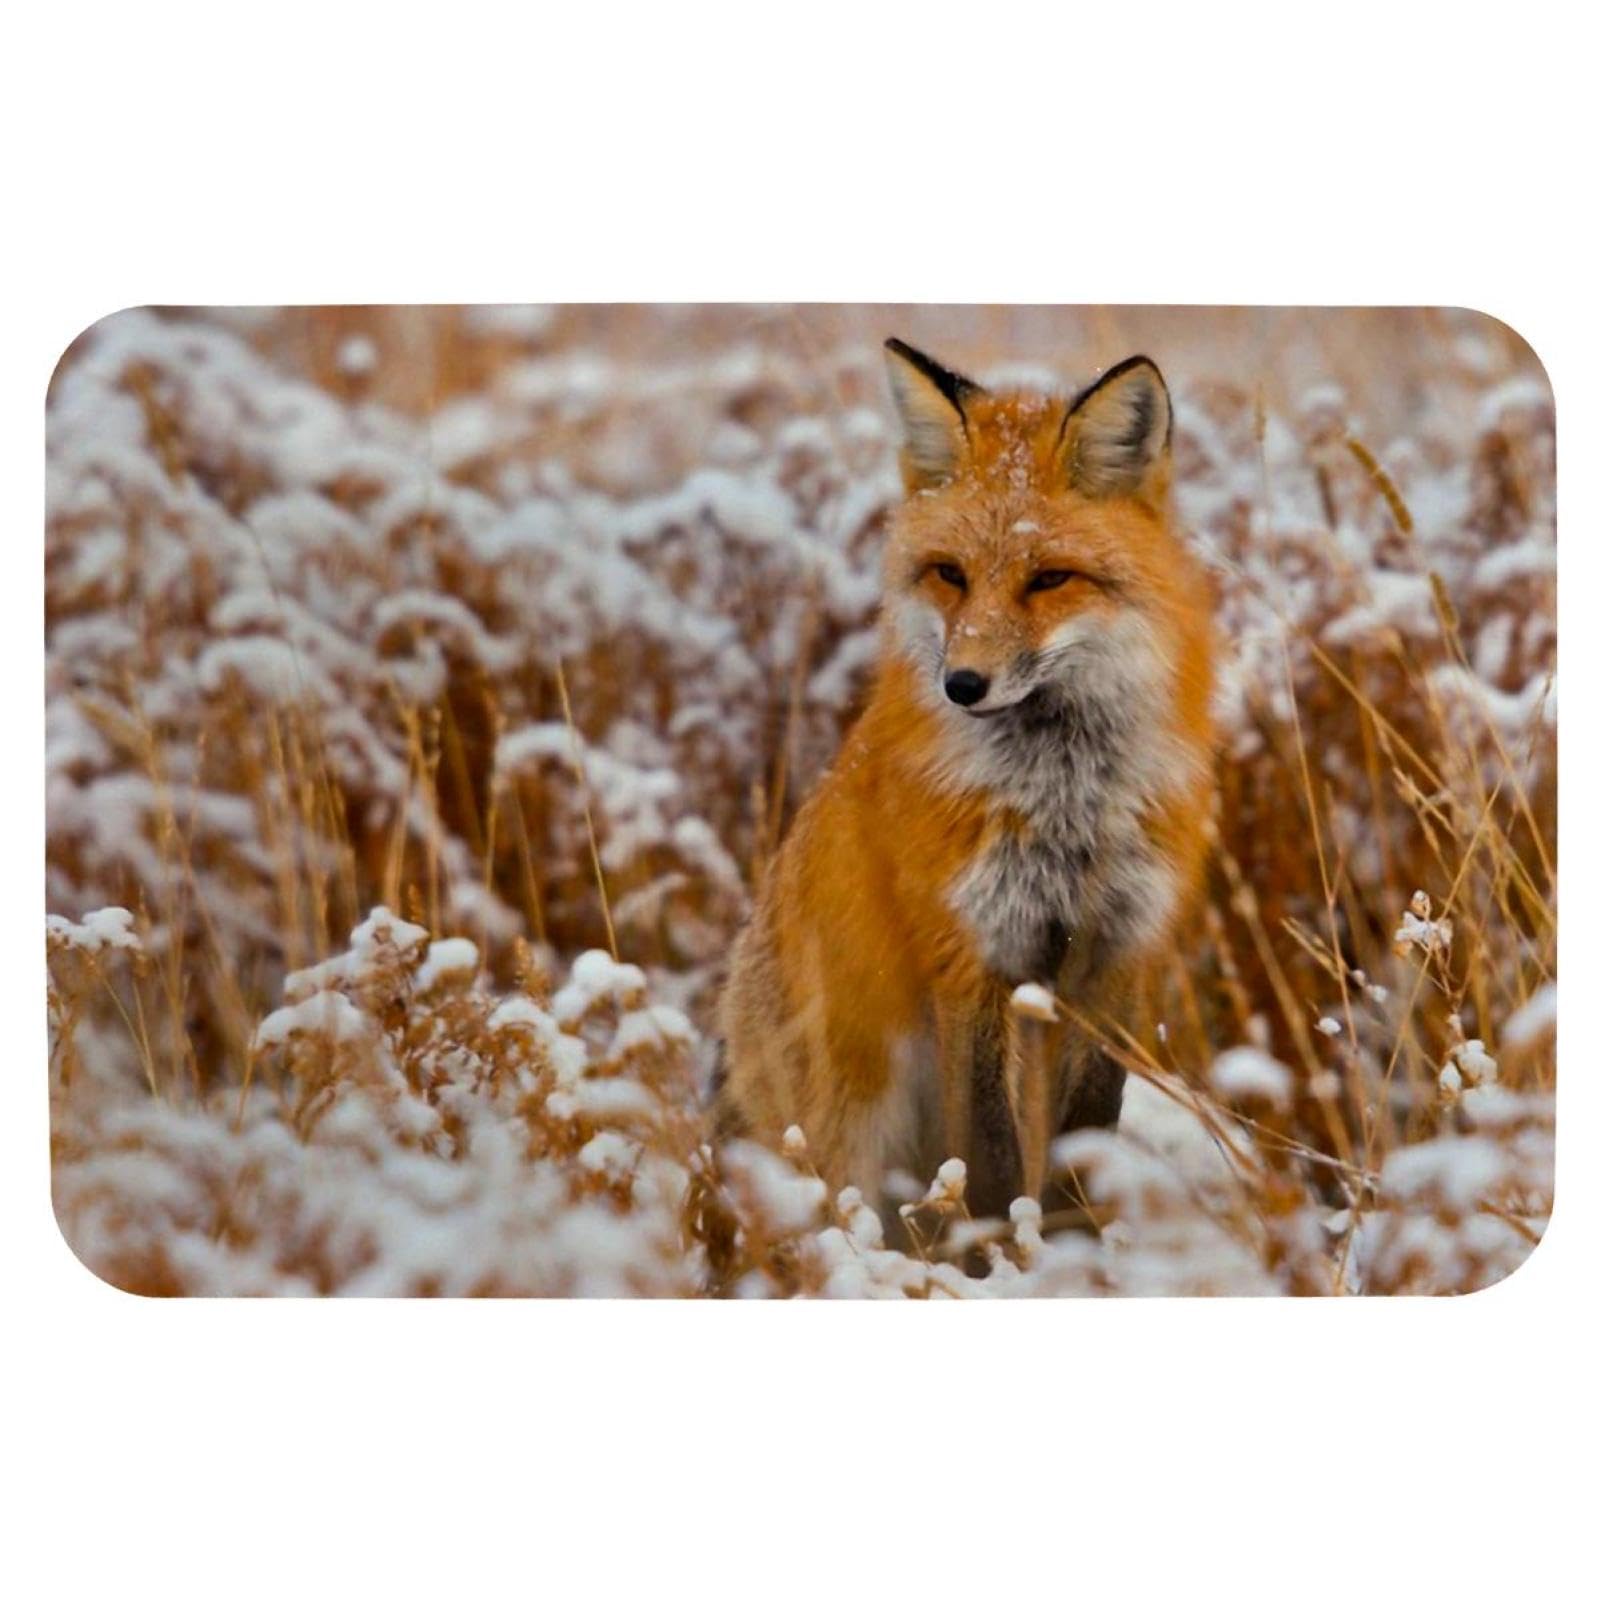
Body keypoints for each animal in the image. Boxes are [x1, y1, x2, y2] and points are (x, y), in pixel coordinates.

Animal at [716, 339, 1215, 1222]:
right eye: (949, 574)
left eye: (1049, 578)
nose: (962, 684)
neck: (1064, 800)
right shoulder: (970, 954)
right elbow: (984, 1159)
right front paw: (997, 1245)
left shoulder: (1117, 953)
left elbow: (1084, 1139)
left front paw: (1071, 1244)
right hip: (851, 1122)